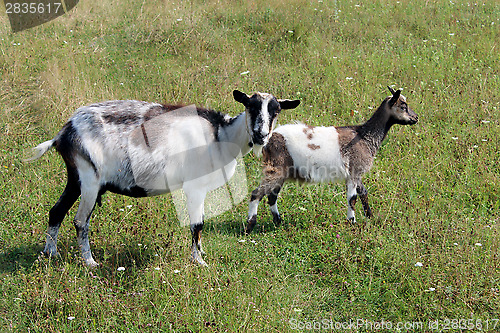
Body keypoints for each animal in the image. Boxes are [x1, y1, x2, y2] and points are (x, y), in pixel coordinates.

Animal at [27, 89, 298, 266]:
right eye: (250, 106)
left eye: (276, 110)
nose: (261, 135)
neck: (220, 135)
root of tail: (64, 132)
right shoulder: (194, 187)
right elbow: (197, 224)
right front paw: (199, 262)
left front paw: (201, 254)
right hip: (89, 180)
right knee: (80, 221)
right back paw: (90, 263)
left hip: (75, 179)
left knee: (56, 211)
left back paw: (50, 254)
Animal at [244, 87, 416, 232]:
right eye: (403, 106)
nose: (416, 118)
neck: (364, 136)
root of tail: (268, 140)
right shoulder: (354, 170)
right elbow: (352, 198)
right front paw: (352, 222)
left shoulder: (356, 173)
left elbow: (363, 193)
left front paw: (369, 217)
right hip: (276, 168)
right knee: (256, 194)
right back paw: (250, 226)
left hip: (282, 171)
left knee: (272, 196)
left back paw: (278, 222)